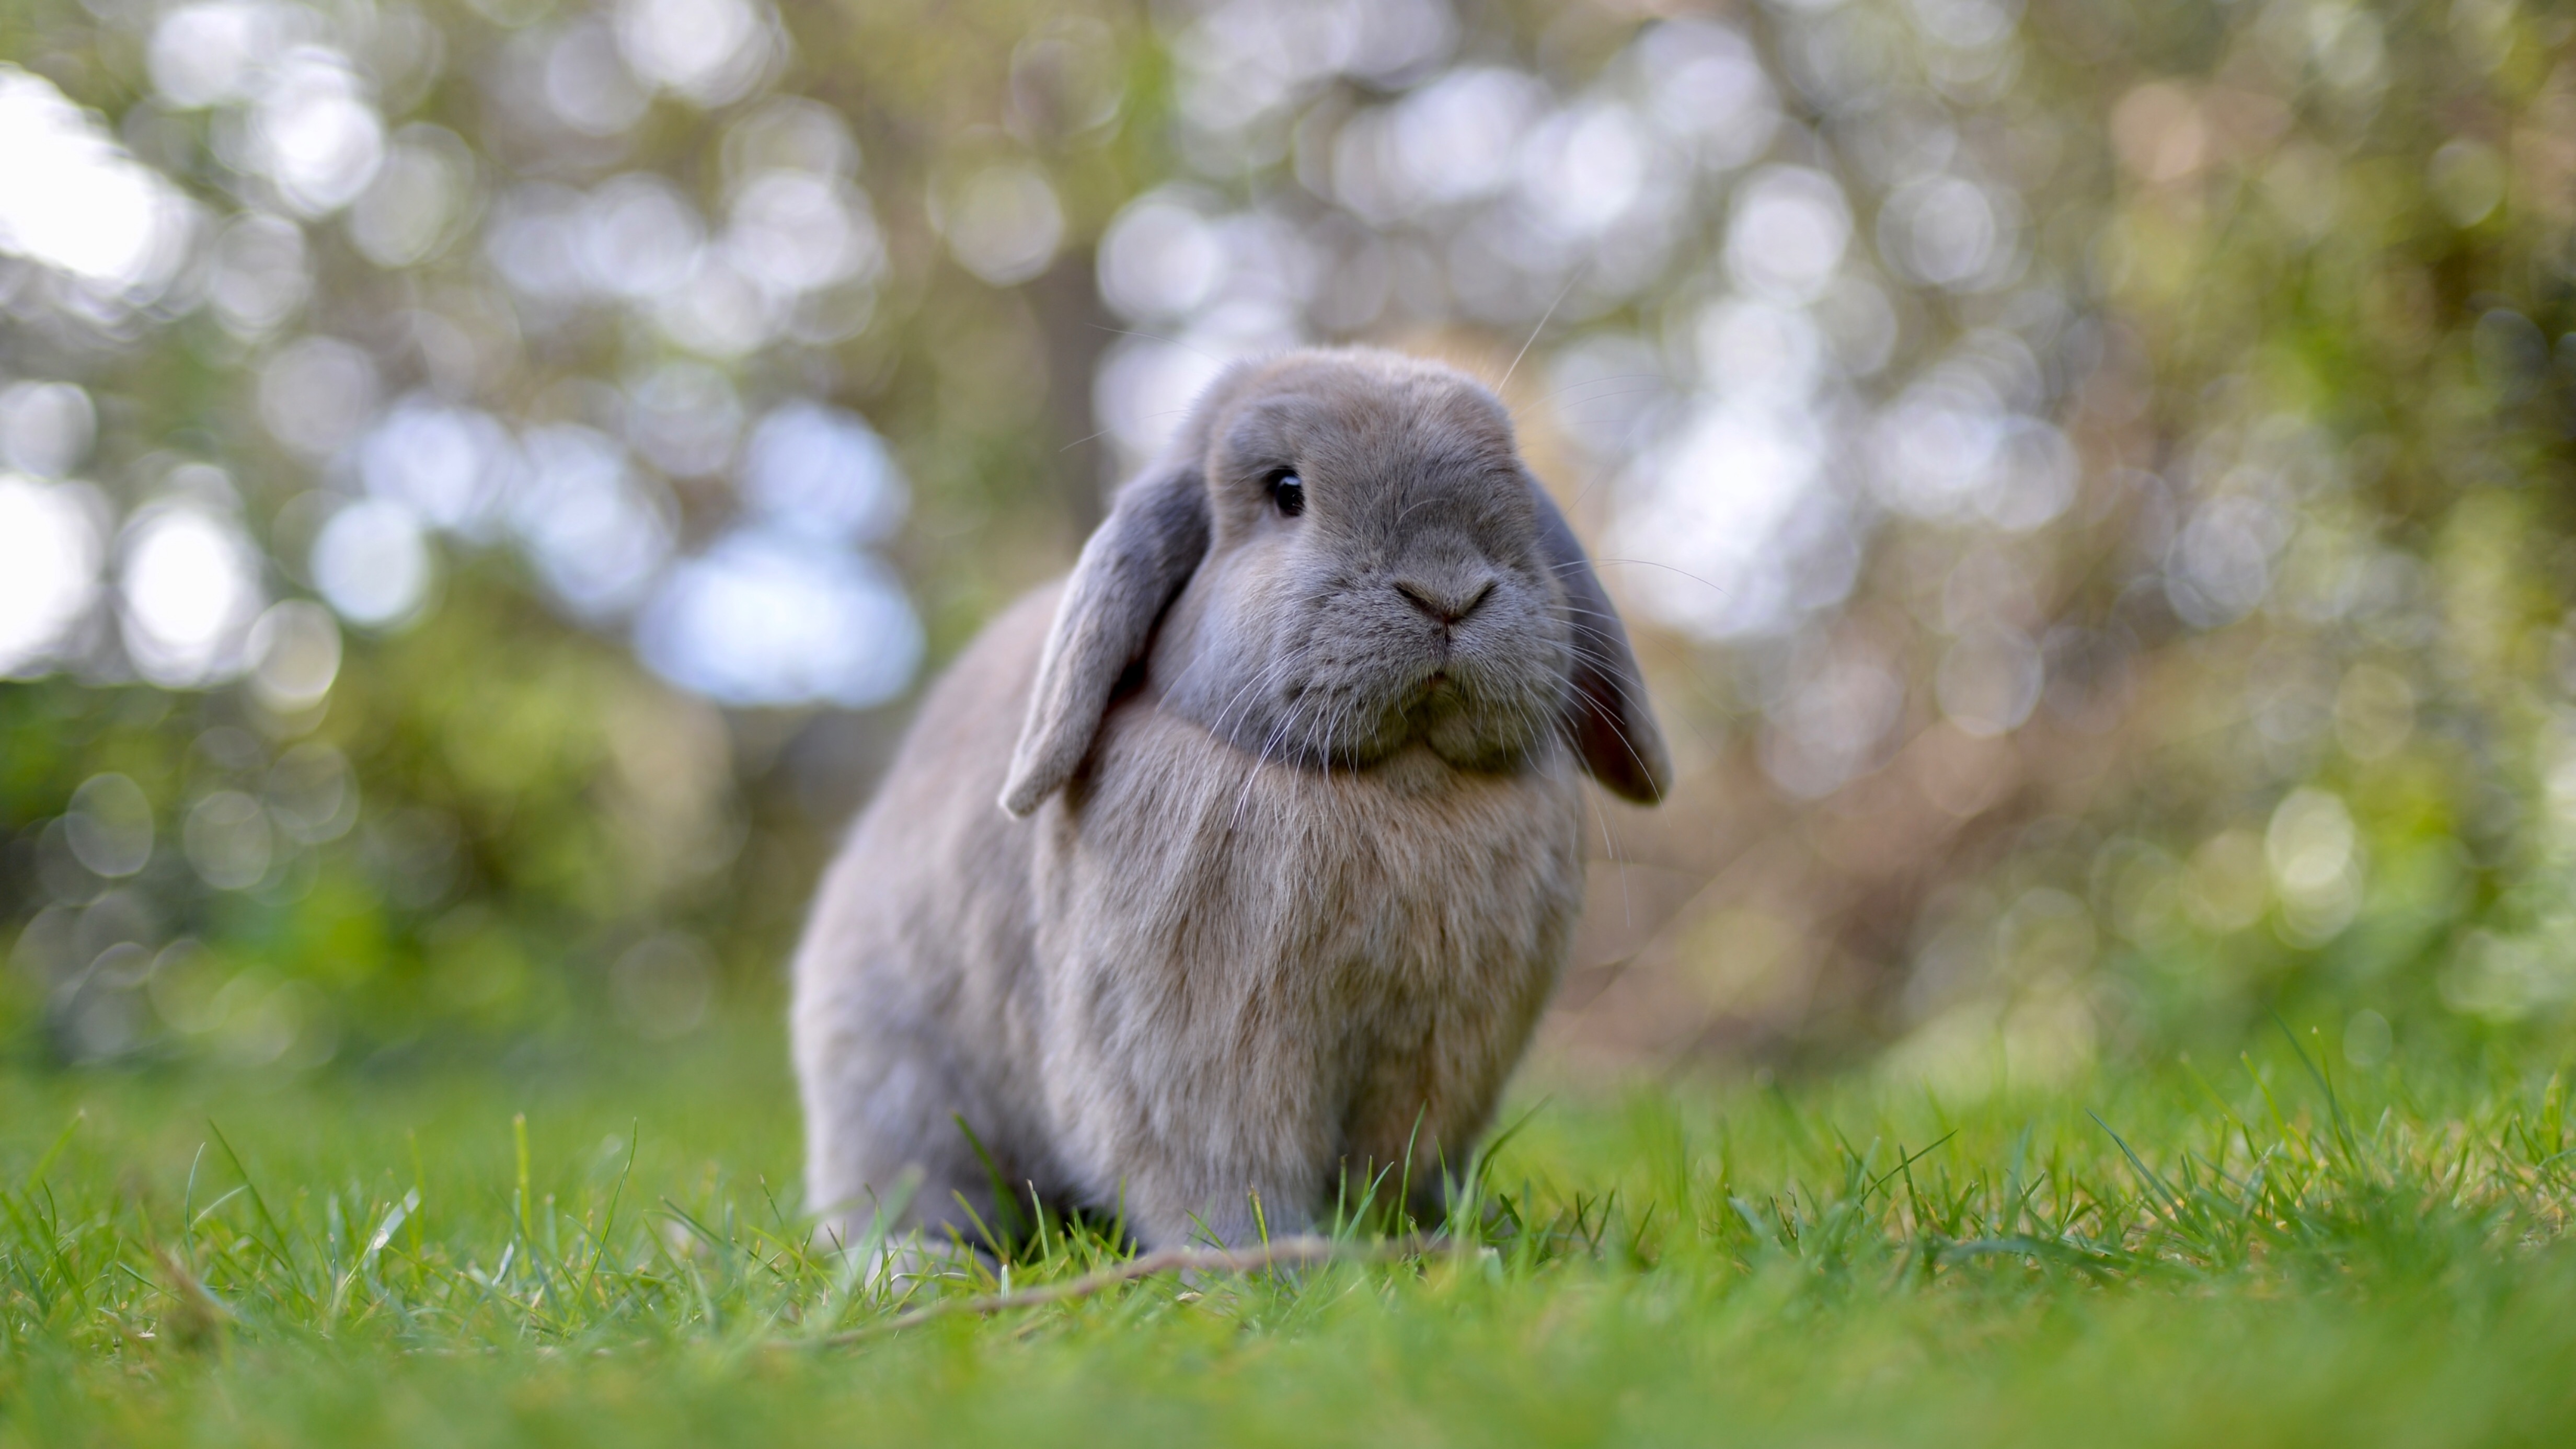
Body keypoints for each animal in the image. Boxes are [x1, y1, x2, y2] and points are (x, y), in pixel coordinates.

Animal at [788, 348, 1669, 1253]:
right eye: (1286, 491)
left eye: (1515, 487)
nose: (1447, 591)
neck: (1400, 786)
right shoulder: (1199, 1059)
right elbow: (1223, 1177)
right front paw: (1281, 1260)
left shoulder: (1438, 1063)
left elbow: (1406, 1166)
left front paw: (1431, 1236)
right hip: (894, 1081)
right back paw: (914, 1263)